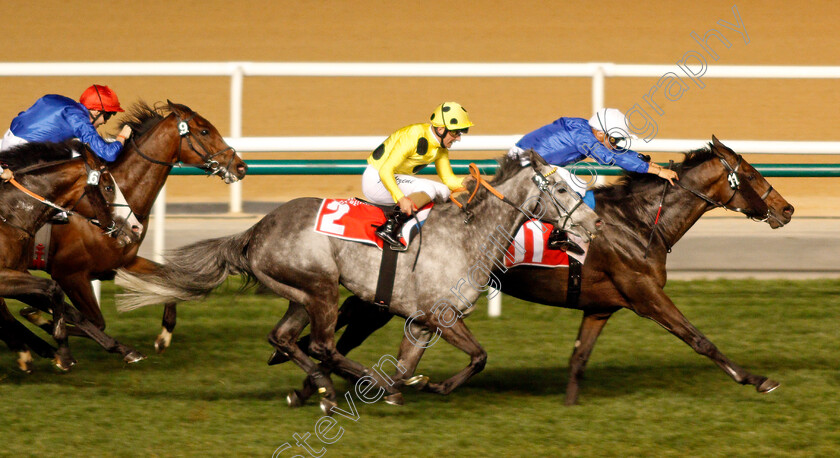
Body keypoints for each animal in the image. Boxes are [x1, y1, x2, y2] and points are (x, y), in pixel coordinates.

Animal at [0, 143, 137, 372]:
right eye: (109, 187)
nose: (135, 227)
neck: (10, 215)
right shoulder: (5, 277)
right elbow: (53, 288)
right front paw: (63, 353)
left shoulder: (17, 272)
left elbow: (72, 311)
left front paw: (123, 349)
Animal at [20, 101, 246, 362]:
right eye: (205, 131)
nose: (241, 166)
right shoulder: (69, 274)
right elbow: (94, 322)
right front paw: (41, 319)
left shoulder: (121, 262)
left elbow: (168, 279)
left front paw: (164, 336)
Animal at [116, 152, 604, 414]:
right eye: (562, 189)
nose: (594, 222)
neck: (467, 235)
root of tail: (255, 230)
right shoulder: (440, 315)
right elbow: (479, 356)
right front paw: (422, 387)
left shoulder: (421, 323)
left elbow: (415, 363)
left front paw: (420, 385)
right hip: (323, 289)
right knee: (323, 345)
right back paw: (349, 386)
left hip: (301, 295)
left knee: (285, 338)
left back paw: (319, 387)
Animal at [280, 136, 796, 408]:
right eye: (752, 175)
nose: (787, 209)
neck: (637, 223)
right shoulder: (645, 294)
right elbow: (699, 339)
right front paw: (756, 379)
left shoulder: (602, 306)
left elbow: (579, 357)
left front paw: (569, 404)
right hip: (388, 300)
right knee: (342, 335)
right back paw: (323, 385)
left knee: (339, 336)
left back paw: (316, 386)